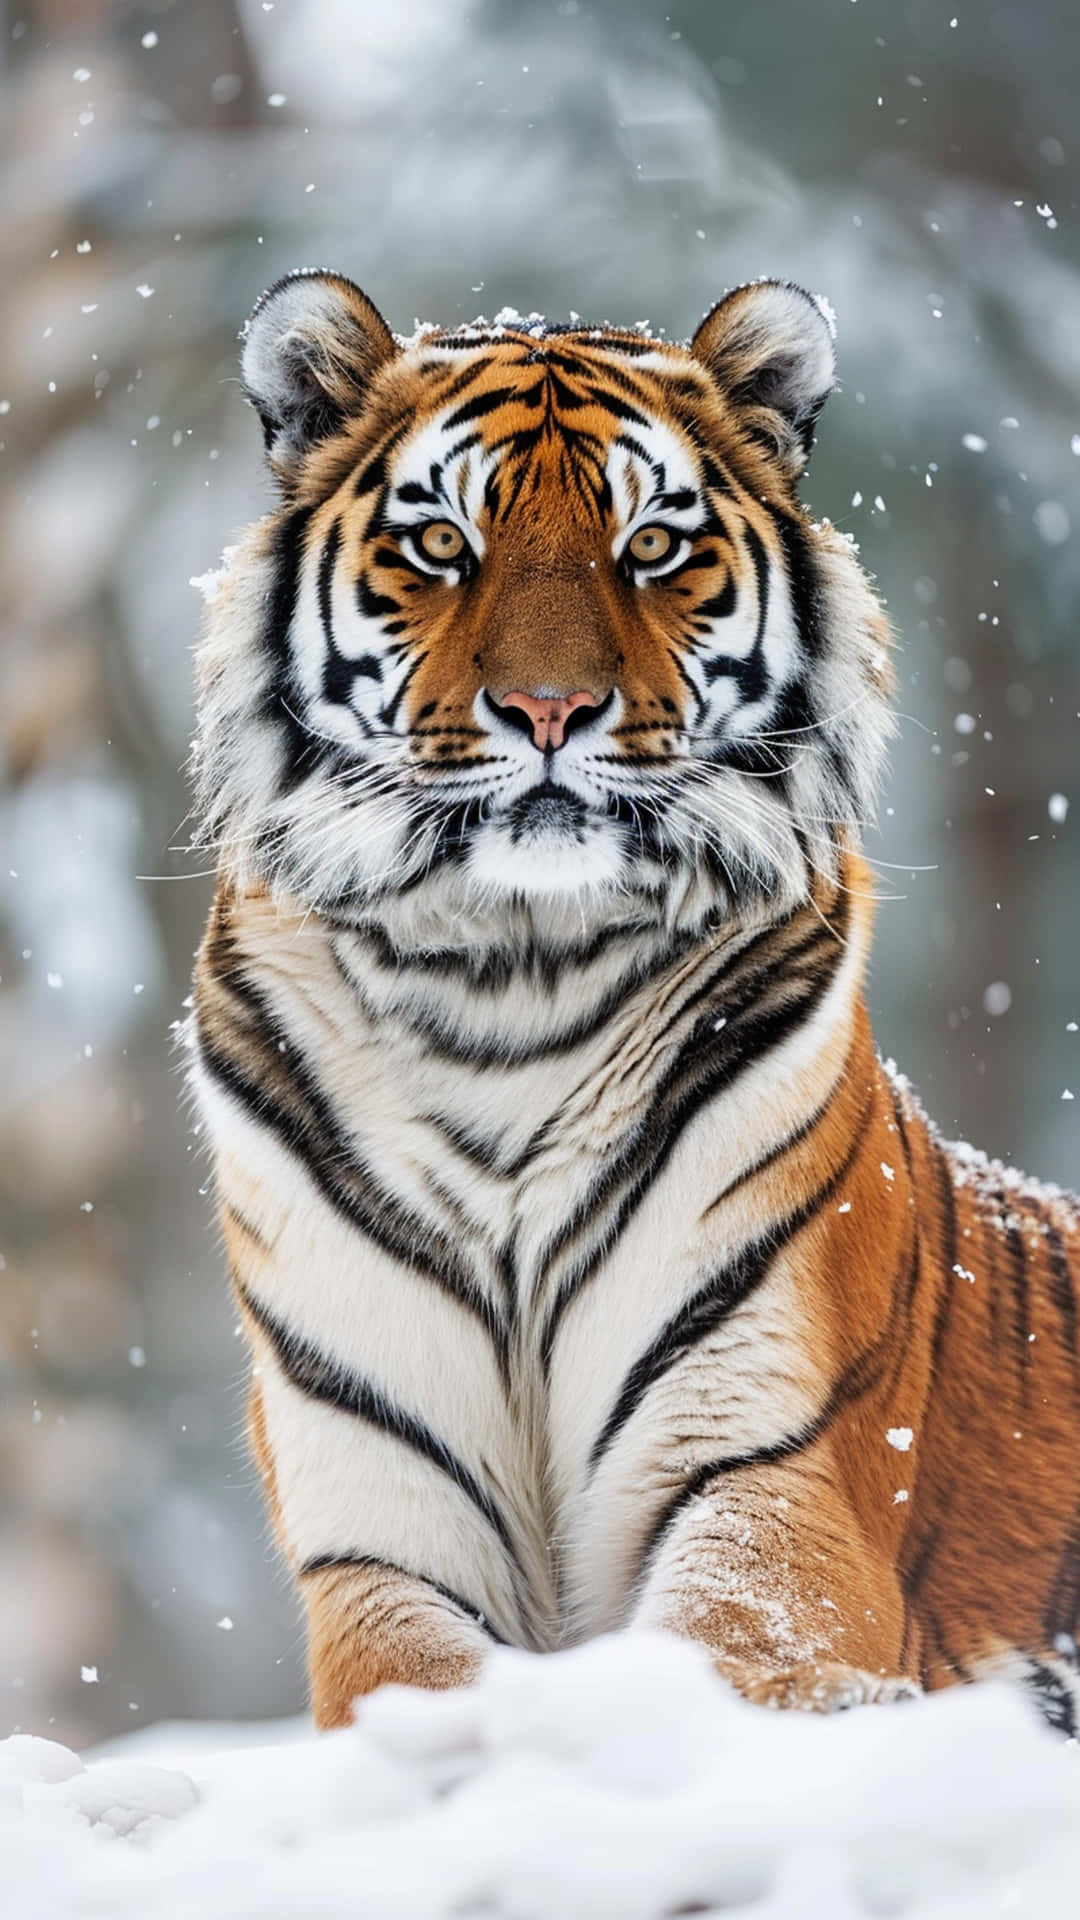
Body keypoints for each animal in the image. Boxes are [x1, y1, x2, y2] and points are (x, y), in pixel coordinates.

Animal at [190, 269, 1080, 1733]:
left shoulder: (773, 1486)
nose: (550, 709)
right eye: (440, 543)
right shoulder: (378, 1538)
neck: (504, 988)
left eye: (654, 545)